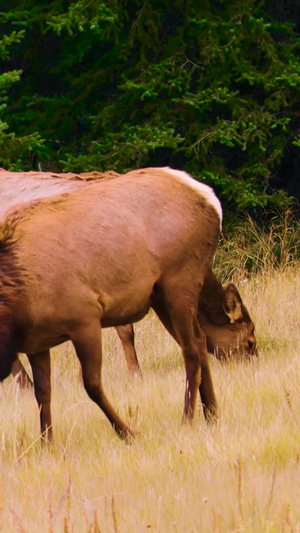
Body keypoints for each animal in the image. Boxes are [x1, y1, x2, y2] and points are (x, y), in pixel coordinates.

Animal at [0, 167, 221, 440]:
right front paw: (46, 442)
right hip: (161, 296)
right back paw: (212, 414)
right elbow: (42, 394)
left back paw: (187, 419)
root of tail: (209, 197)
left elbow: (92, 385)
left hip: (180, 281)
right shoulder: (37, 342)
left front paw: (128, 431)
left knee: (190, 350)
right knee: (201, 341)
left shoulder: (85, 319)